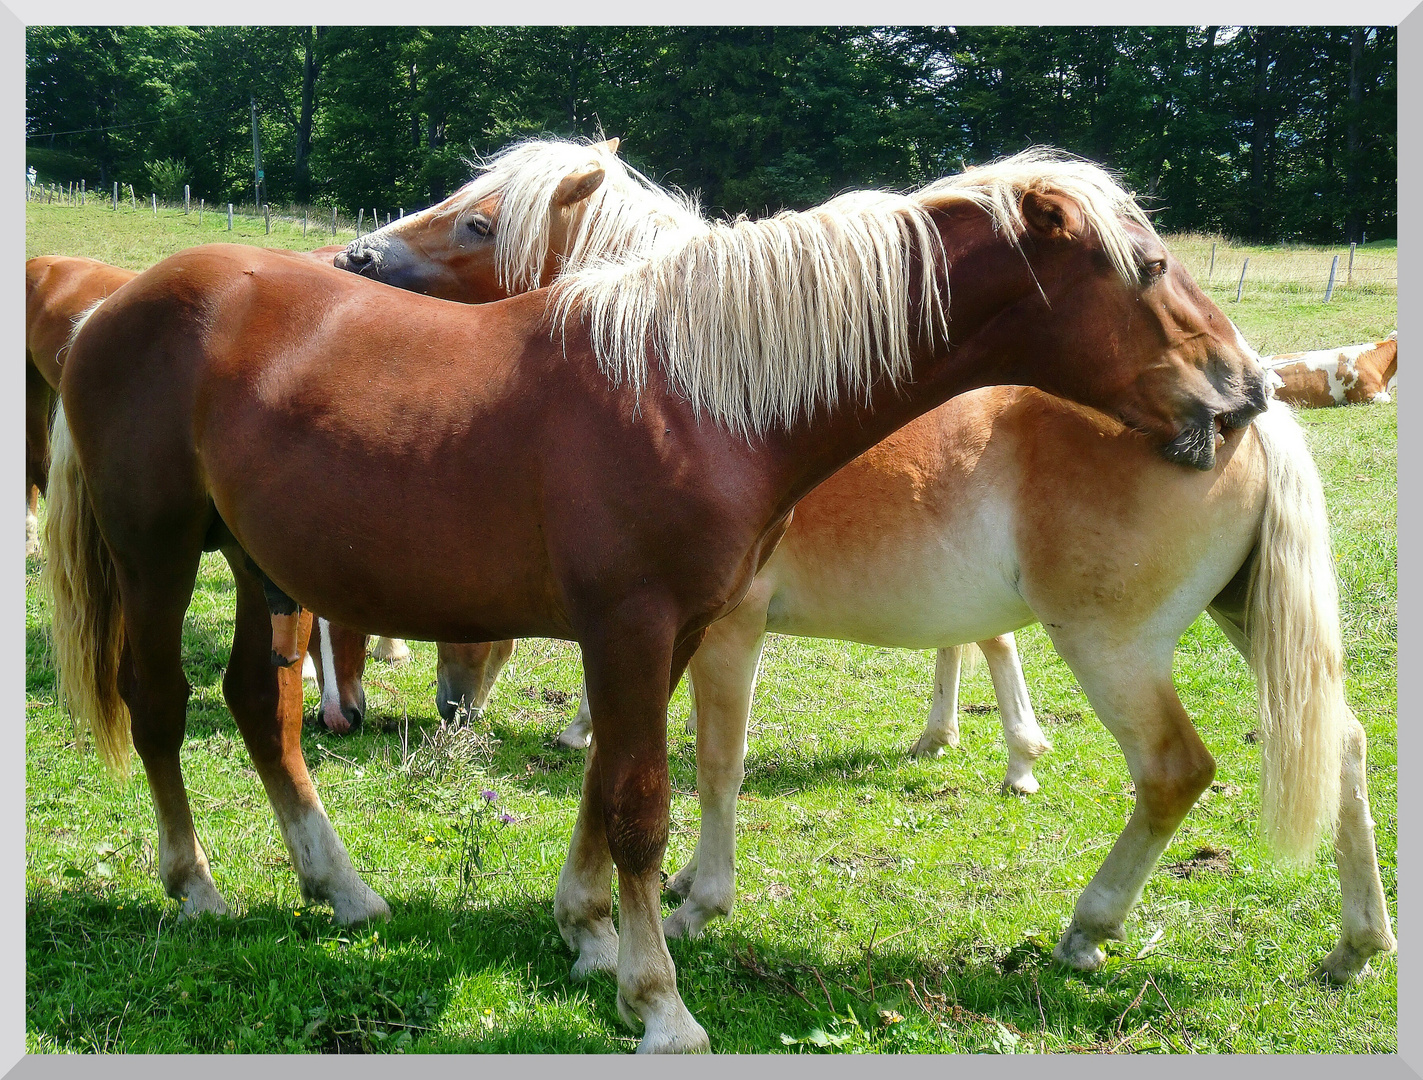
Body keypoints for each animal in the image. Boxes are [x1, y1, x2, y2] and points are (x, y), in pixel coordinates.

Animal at [47, 147, 1269, 1052]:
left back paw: (339, 889)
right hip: (157, 553)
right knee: (158, 702)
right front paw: (659, 1003)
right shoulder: (629, 627)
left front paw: (589, 938)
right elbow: (641, 804)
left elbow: (609, 788)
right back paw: (194, 886)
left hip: (262, 568)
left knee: (264, 706)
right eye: (1150, 265)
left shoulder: (677, 631)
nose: (1246, 389)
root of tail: (117, 303)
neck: (695, 395)